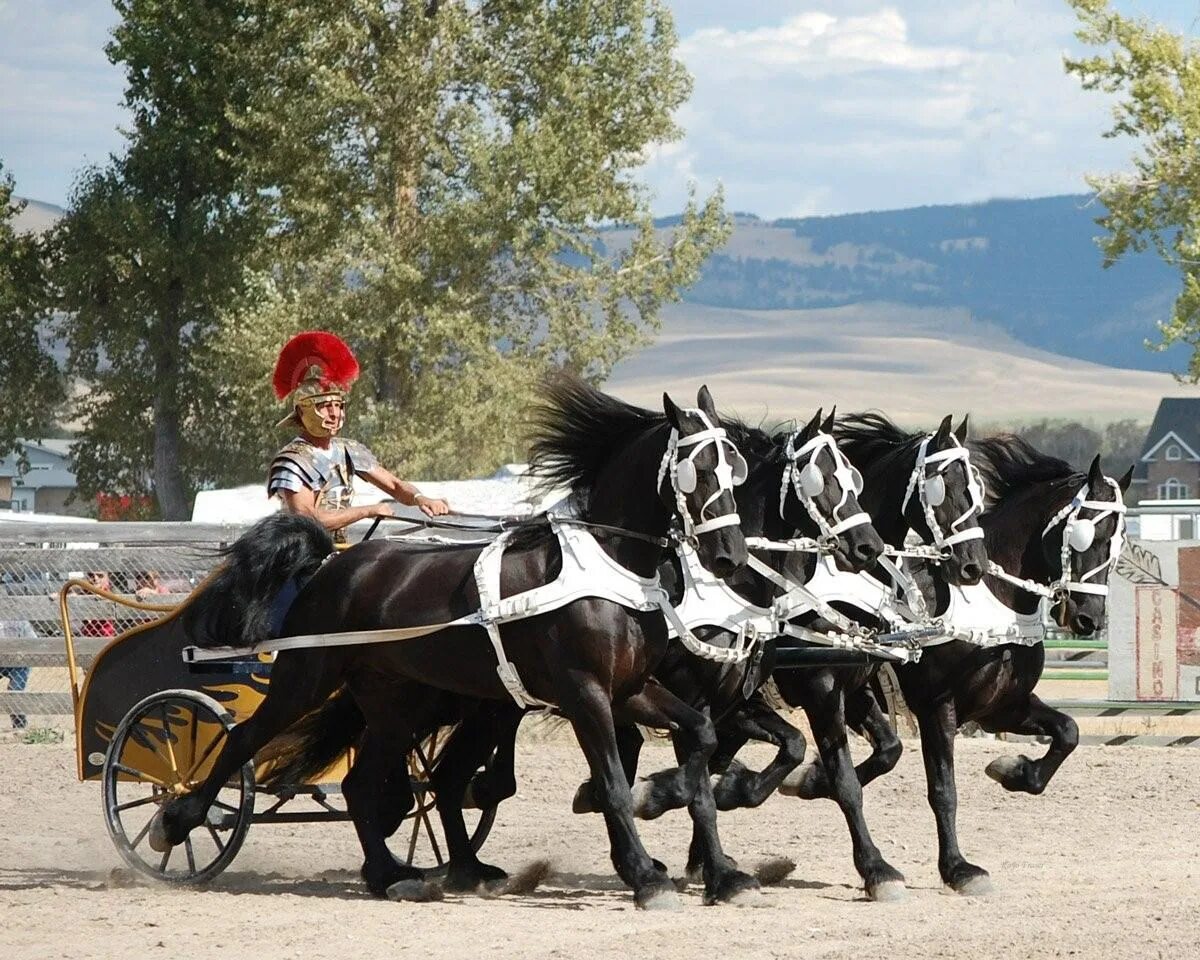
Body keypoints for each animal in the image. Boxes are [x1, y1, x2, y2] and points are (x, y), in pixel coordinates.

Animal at [150, 376, 748, 907]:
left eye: (734, 466)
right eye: (697, 470)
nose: (731, 556)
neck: (606, 568)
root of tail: (329, 565)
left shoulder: (631, 689)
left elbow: (699, 745)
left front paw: (710, 856)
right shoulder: (586, 695)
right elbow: (614, 785)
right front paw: (646, 876)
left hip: (397, 703)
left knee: (363, 783)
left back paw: (392, 876)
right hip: (309, 678)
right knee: (245, 738)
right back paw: (176, 822)